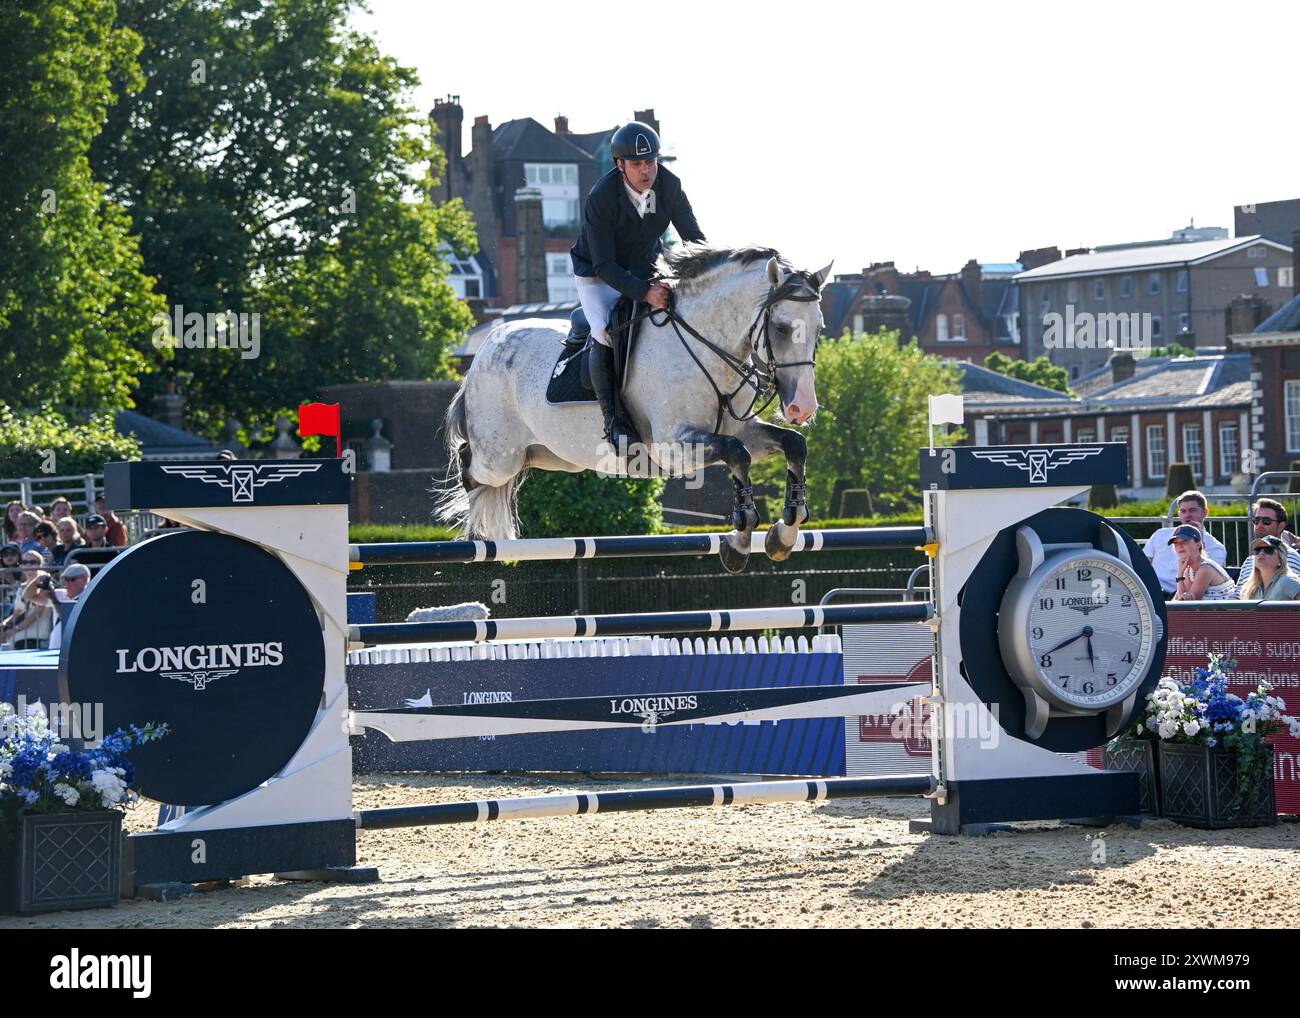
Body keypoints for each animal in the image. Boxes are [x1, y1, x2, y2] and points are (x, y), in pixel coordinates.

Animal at [439, 240, 832, 572]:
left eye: (819, 329)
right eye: (781, 328)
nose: (802, 407)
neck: (704, 347)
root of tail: (489, 343)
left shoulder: (742, 430)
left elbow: (792, 445)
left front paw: (783, 534)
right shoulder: (673, 447)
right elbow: (737, 454)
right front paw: (738, 543)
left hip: (546, 456)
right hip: (499, 458)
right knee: (470, 466)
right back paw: (475, 534)